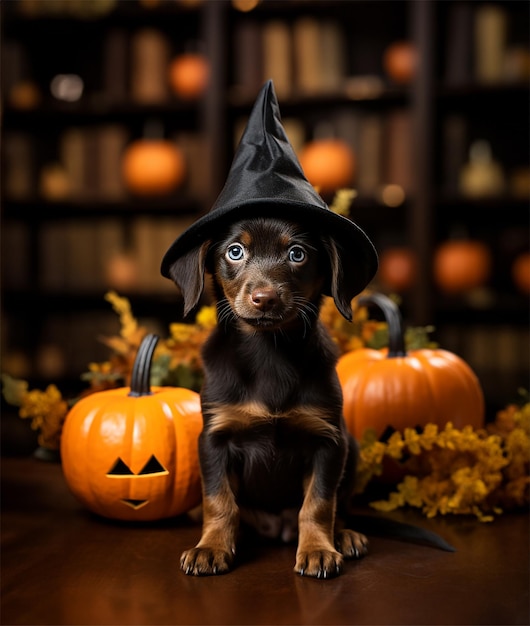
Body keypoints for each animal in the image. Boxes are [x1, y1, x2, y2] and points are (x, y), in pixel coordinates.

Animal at [165, 217, 368, 576]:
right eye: (235, 251)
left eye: (297, 253)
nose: (265, 298)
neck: (269, 350)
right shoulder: (214, 439)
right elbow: (218, 501)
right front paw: (210, 548)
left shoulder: (328, 440)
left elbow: (318, 503)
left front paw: (318, 549)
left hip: (352, 447)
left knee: (338, 508)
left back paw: (344, 536)